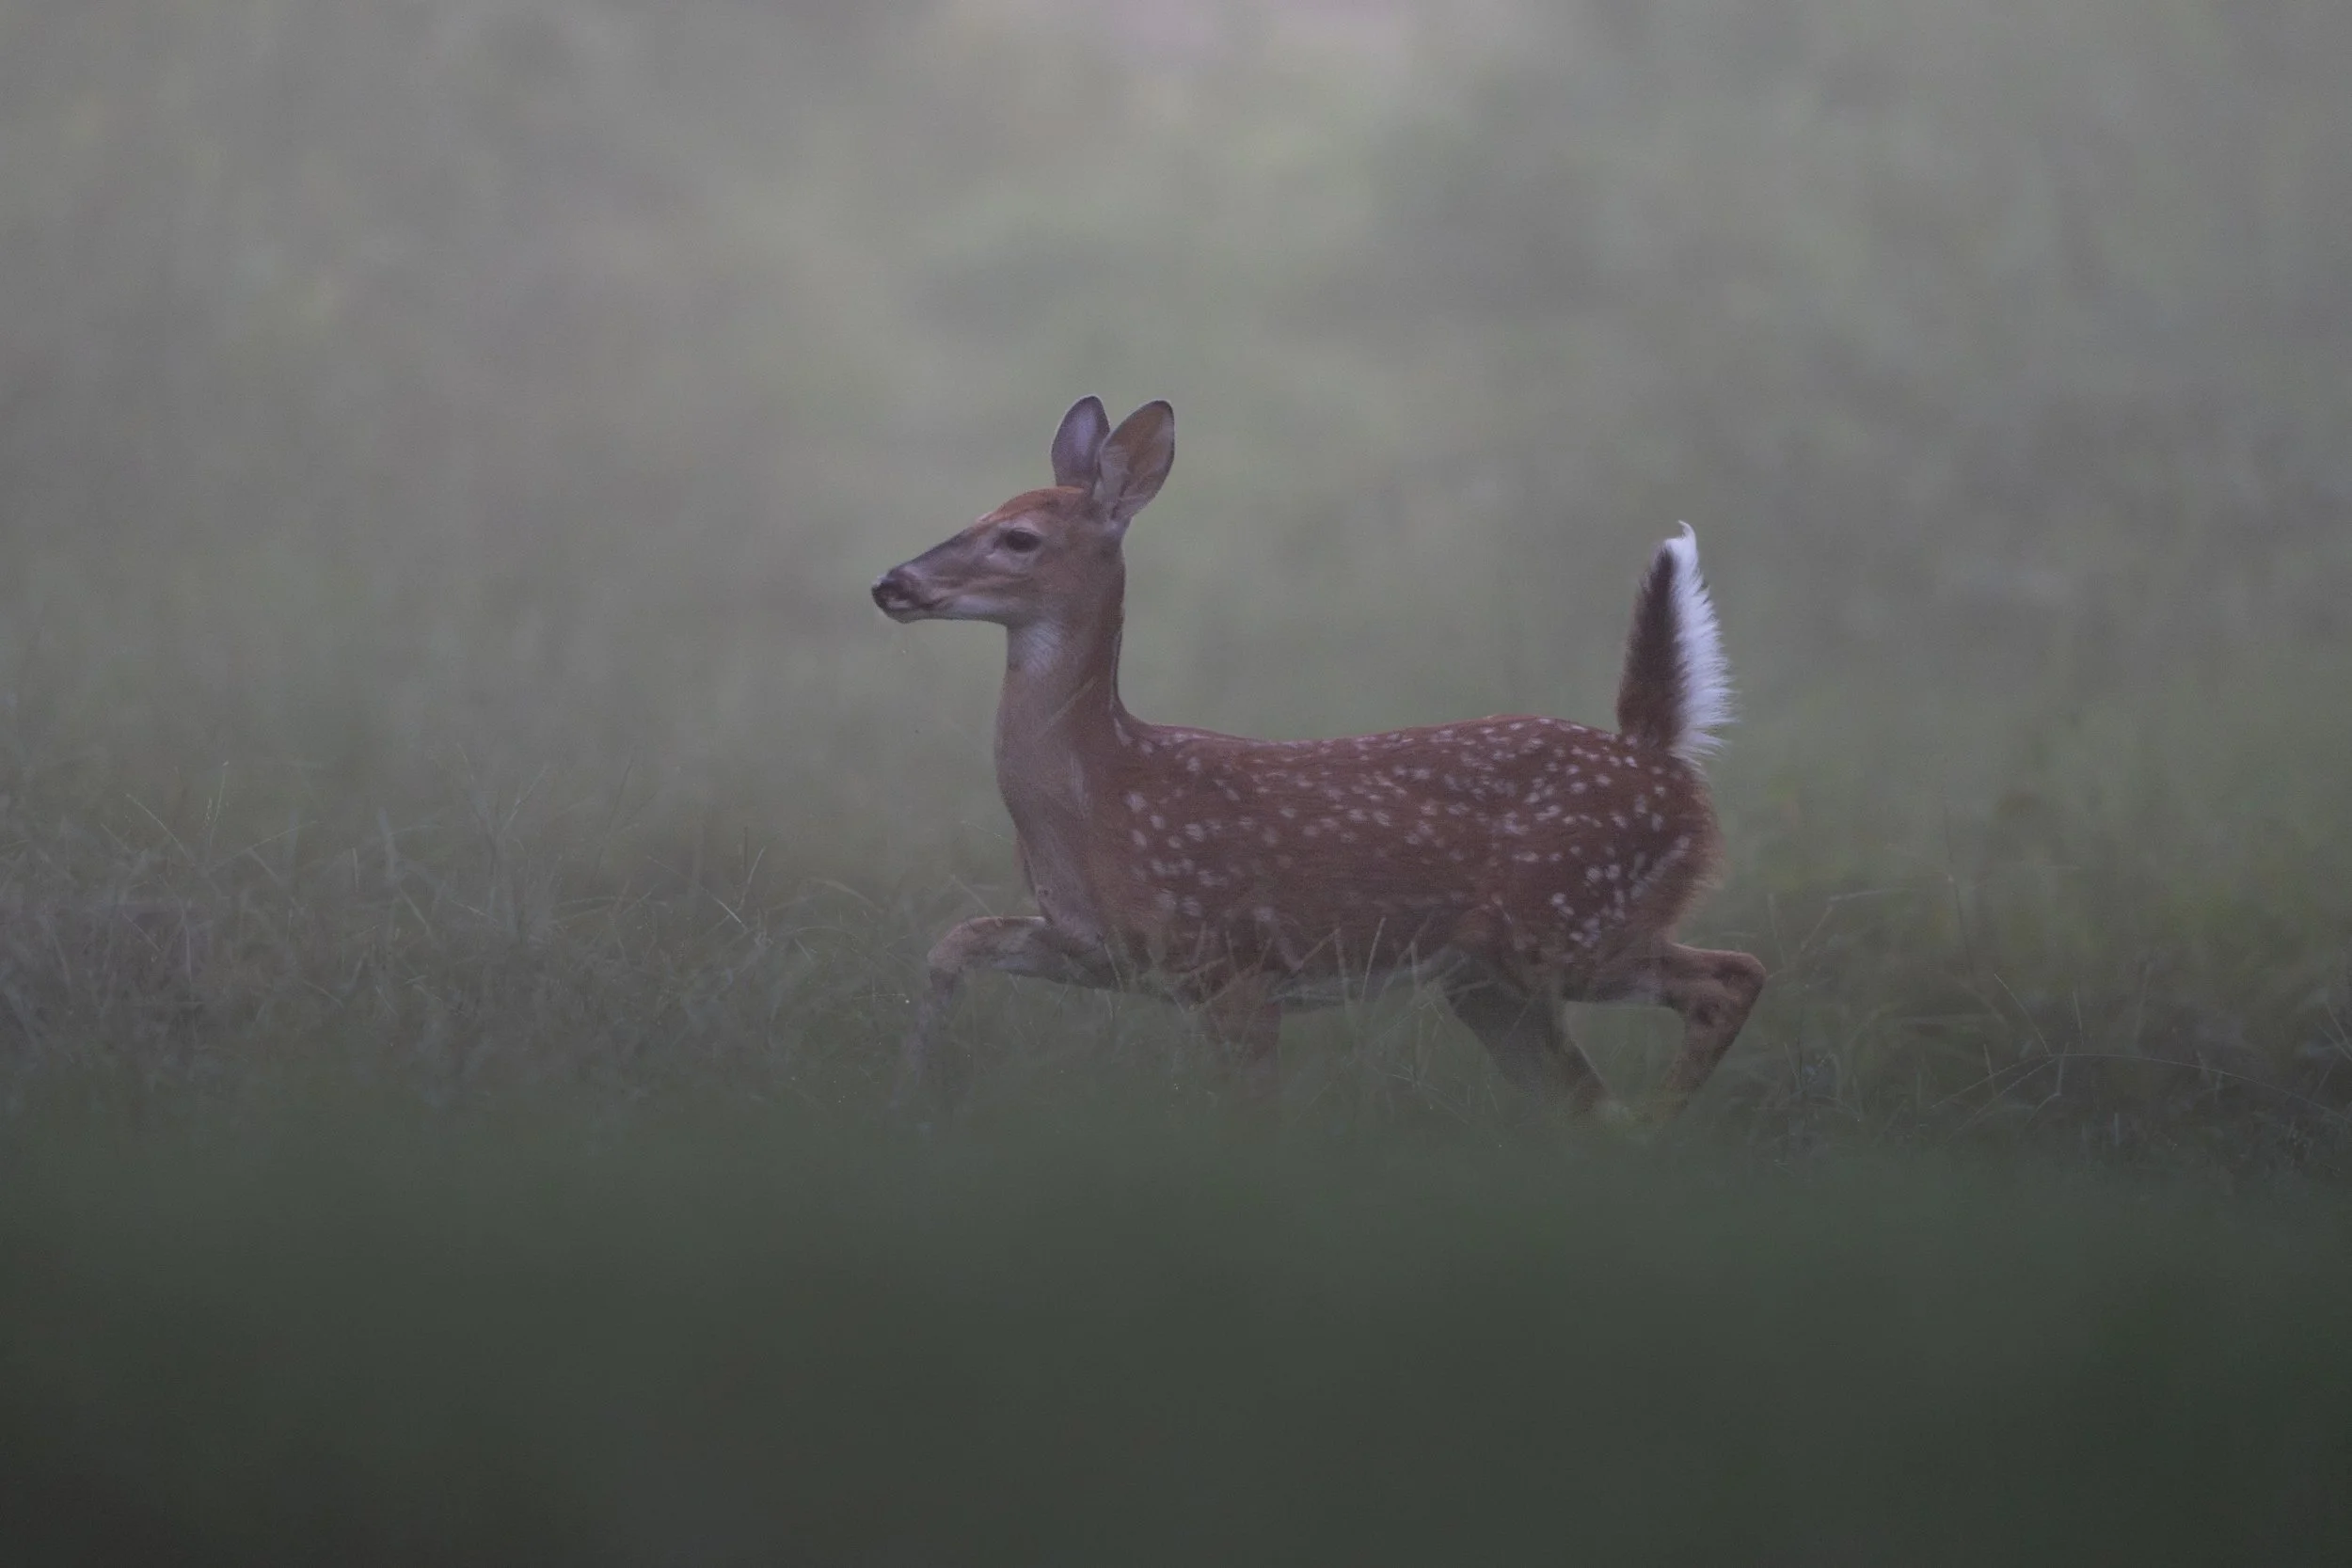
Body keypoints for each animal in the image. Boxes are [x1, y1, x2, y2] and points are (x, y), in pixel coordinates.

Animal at [871, 397, 1764, 1122]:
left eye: (1019, 537)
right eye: (978, 513)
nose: (893, 582)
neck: (1101, 794)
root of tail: (1658, 752)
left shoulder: (1234, 963)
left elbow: (1252, 1117)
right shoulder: (1108, 951)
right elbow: (955, 942)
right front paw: (916, 1081)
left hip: (1571, 923)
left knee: (1732, 977)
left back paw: (1657, 1124)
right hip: (1491, 978)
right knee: (1591, 1099)